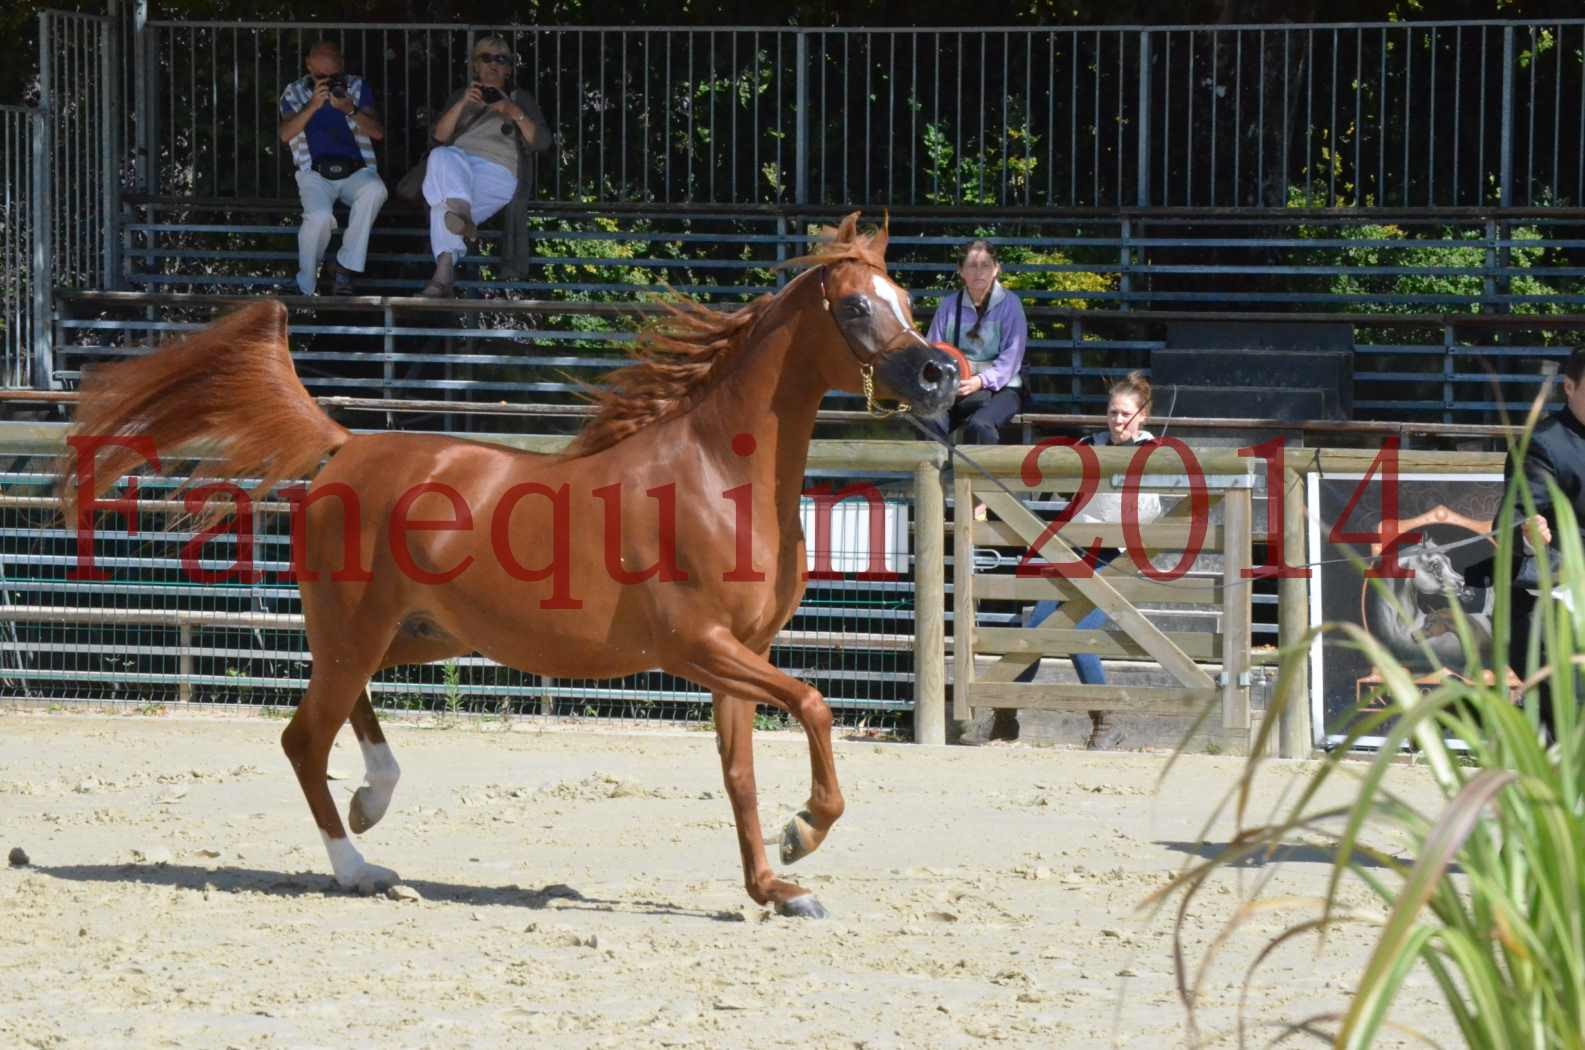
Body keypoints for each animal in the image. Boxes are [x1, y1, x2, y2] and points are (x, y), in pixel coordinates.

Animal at [58, 214, 951, 919]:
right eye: (857, 306)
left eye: (906, 302)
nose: (938, 374)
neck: (715, 476)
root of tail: (346, 447)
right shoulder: (699, 646)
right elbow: (814, 707)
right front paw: (804, 835)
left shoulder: (742, 653)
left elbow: (739, 775)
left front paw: (777, 887)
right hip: (360, 629)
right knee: (304, 736)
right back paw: (360, 867)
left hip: (415, 633)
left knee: (341, 711)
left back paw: (373, 798)